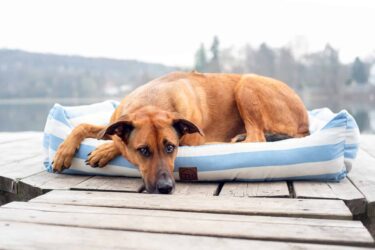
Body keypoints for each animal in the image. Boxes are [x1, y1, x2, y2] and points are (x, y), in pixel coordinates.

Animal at [53, 72, 312, 193]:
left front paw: (104, 150)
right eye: (143, 150)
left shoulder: (191, 138)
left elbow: (117, 142)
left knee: (257, 138)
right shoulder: (115, 123)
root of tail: (305, 123)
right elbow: (83, 125)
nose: (166, 187)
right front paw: (63, 152)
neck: (151, 100)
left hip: (247, 83)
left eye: (171, 148)